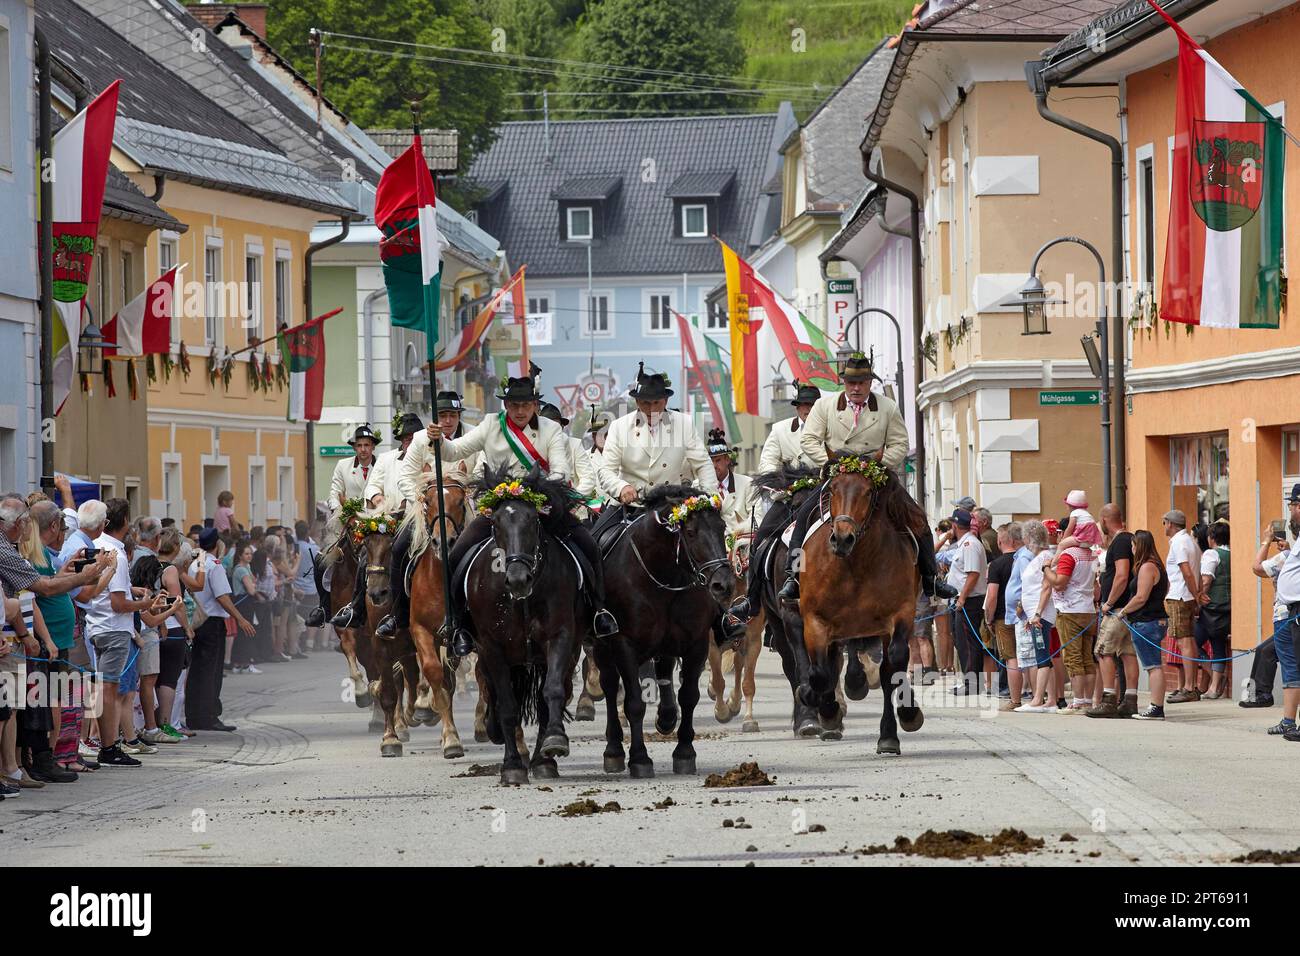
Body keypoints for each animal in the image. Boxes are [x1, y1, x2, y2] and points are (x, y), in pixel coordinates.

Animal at [403, 481, 475, 759]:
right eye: (428, 502)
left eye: (459, 502)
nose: (443, 541)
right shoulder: (420, 630)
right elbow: (434, 673)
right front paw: (451, 738)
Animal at [465, 465, 587, 785]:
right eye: (495, 522)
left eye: (532, 519)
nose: (518, 579)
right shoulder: (491, 647)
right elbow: (507, 706)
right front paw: (511, 766)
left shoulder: (560, 637)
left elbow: (552, 691)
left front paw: (554, 742)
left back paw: (544, 758)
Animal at [595, 486, 738, 780]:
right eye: (691, 532)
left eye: (722, 528)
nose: (724, 585)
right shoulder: (624, 644)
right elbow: (634, 703)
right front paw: (639, 759)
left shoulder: (696, 644)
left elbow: (689, 696)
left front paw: (684, 752)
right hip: (602, 648)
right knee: (610, 685)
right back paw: (613, 749)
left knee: (664, 672)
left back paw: (666, 717)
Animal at [795, 452, 920, 759]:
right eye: (832, 490)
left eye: (868, 492)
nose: (842, 538)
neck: (854, 564)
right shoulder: (814, 620)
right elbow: (819, 673)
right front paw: (821, 706)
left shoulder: (901, 614)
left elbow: (896, 663)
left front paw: (908, 714)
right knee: (828, 667)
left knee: (889, 669)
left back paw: (889, 735)